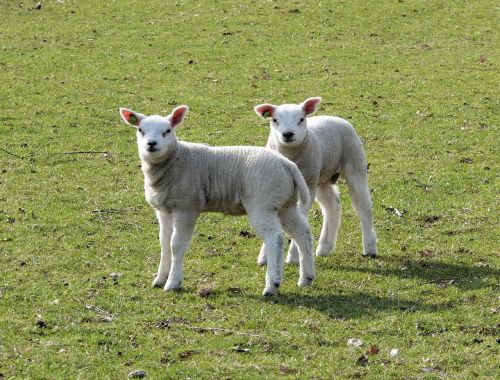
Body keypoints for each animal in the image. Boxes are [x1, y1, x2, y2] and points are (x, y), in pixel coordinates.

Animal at [118, 105, 312, 296]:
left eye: (167, 131)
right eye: (140, 130)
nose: (151, 144)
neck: (175, 161)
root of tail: (288, 165)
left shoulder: (186, 207)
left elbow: (176, 245)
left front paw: (173, 282)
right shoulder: (164, 210)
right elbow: (164, 243)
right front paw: (159, 279)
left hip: (262, 204)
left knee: (275, 238)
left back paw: (272, 285)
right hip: (285, 205)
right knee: (302, 233)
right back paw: (306, 278)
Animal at [256, 96, 376, 262]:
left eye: (301, 119)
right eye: (274, 120)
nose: (288, 134)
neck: (290, 156)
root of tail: (335, 117)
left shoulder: (307, 186)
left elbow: (300, 217)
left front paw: (293, 256)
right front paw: (264, 256)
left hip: (354, 164)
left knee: (363, 206)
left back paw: (370, 247)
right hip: (322, 178)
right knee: (332, 207)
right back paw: (325, 248)